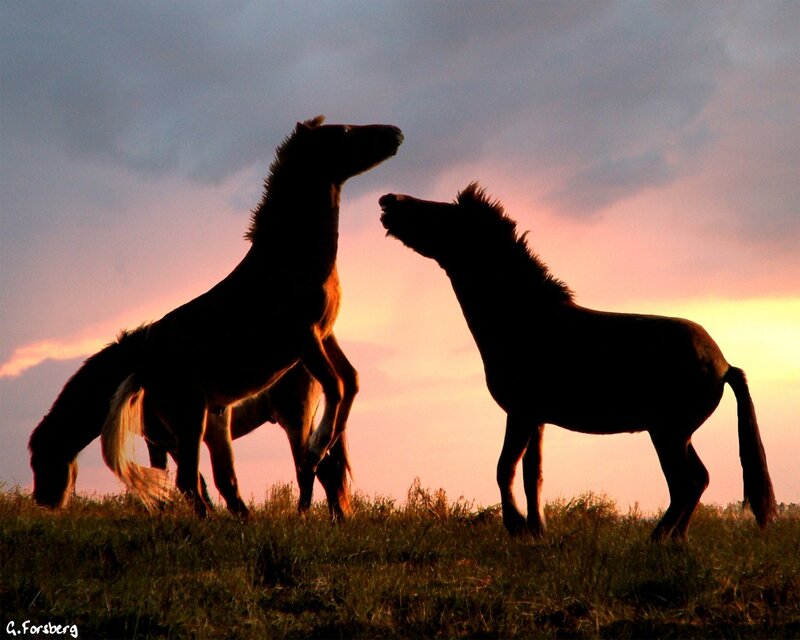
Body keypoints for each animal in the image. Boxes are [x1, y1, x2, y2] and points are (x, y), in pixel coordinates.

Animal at [29, 116, 402, 517]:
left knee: (307, 472)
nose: (395, 134)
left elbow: (349, 382)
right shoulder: (306, 337)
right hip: (198, 416)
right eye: (345, 132)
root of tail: (145, 365)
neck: (288, 260)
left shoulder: (321, 335)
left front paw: (321, 444)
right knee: (199, 479)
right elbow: (339, 386)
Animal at [379, 182, 776, 540]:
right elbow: (533, 473)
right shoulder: (536, 419)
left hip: (669, 433)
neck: (525, 320)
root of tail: (723, 365)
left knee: (686, 483)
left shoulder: (520, 413)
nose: (388, 200)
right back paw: (675, 540)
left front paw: (516, 526)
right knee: (699, 480)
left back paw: (657, 539)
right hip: (676, 433)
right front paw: (536, 531)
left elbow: (505, 468)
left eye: (443, 214)